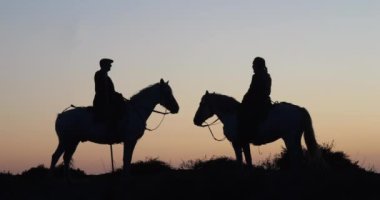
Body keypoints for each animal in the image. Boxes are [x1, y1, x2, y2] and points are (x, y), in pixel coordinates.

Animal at [50, 79, 180, 176]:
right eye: (167, 92)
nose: (176, 108)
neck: (136, 111)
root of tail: (60, 115)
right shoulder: (130, 140)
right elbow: (126, 159)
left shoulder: (131, 141)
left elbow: (127, 159)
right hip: (65, 141)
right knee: (55, 156)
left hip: (73, 141)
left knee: (66, 158)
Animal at [194, 91, 322, 168]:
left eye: (202, 103)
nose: (195, 120)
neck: (232, 115)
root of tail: (300, 109)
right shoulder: (244, 143)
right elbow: (248, 160)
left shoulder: (236, 143)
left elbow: (240, 161)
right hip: (293, 138)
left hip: (290, 138)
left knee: (297, 158)